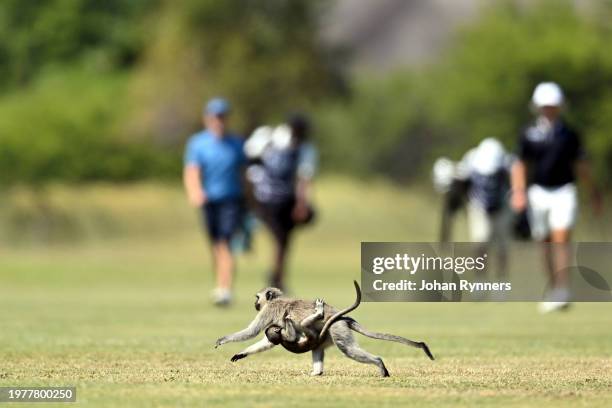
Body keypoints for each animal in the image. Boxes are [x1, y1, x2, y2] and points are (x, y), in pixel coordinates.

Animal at [216, 280, 436, 376]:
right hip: (325, 334)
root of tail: (340, 316)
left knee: (346, 348)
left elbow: (252, 332)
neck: (276, 301)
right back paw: (317, 373)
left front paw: (223, 339)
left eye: (257, 298)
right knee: (317, 348)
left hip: (336, 328)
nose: (255, 303)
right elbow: (268, 340)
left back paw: (379, 364)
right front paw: (241, 354)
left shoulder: (267, 311)